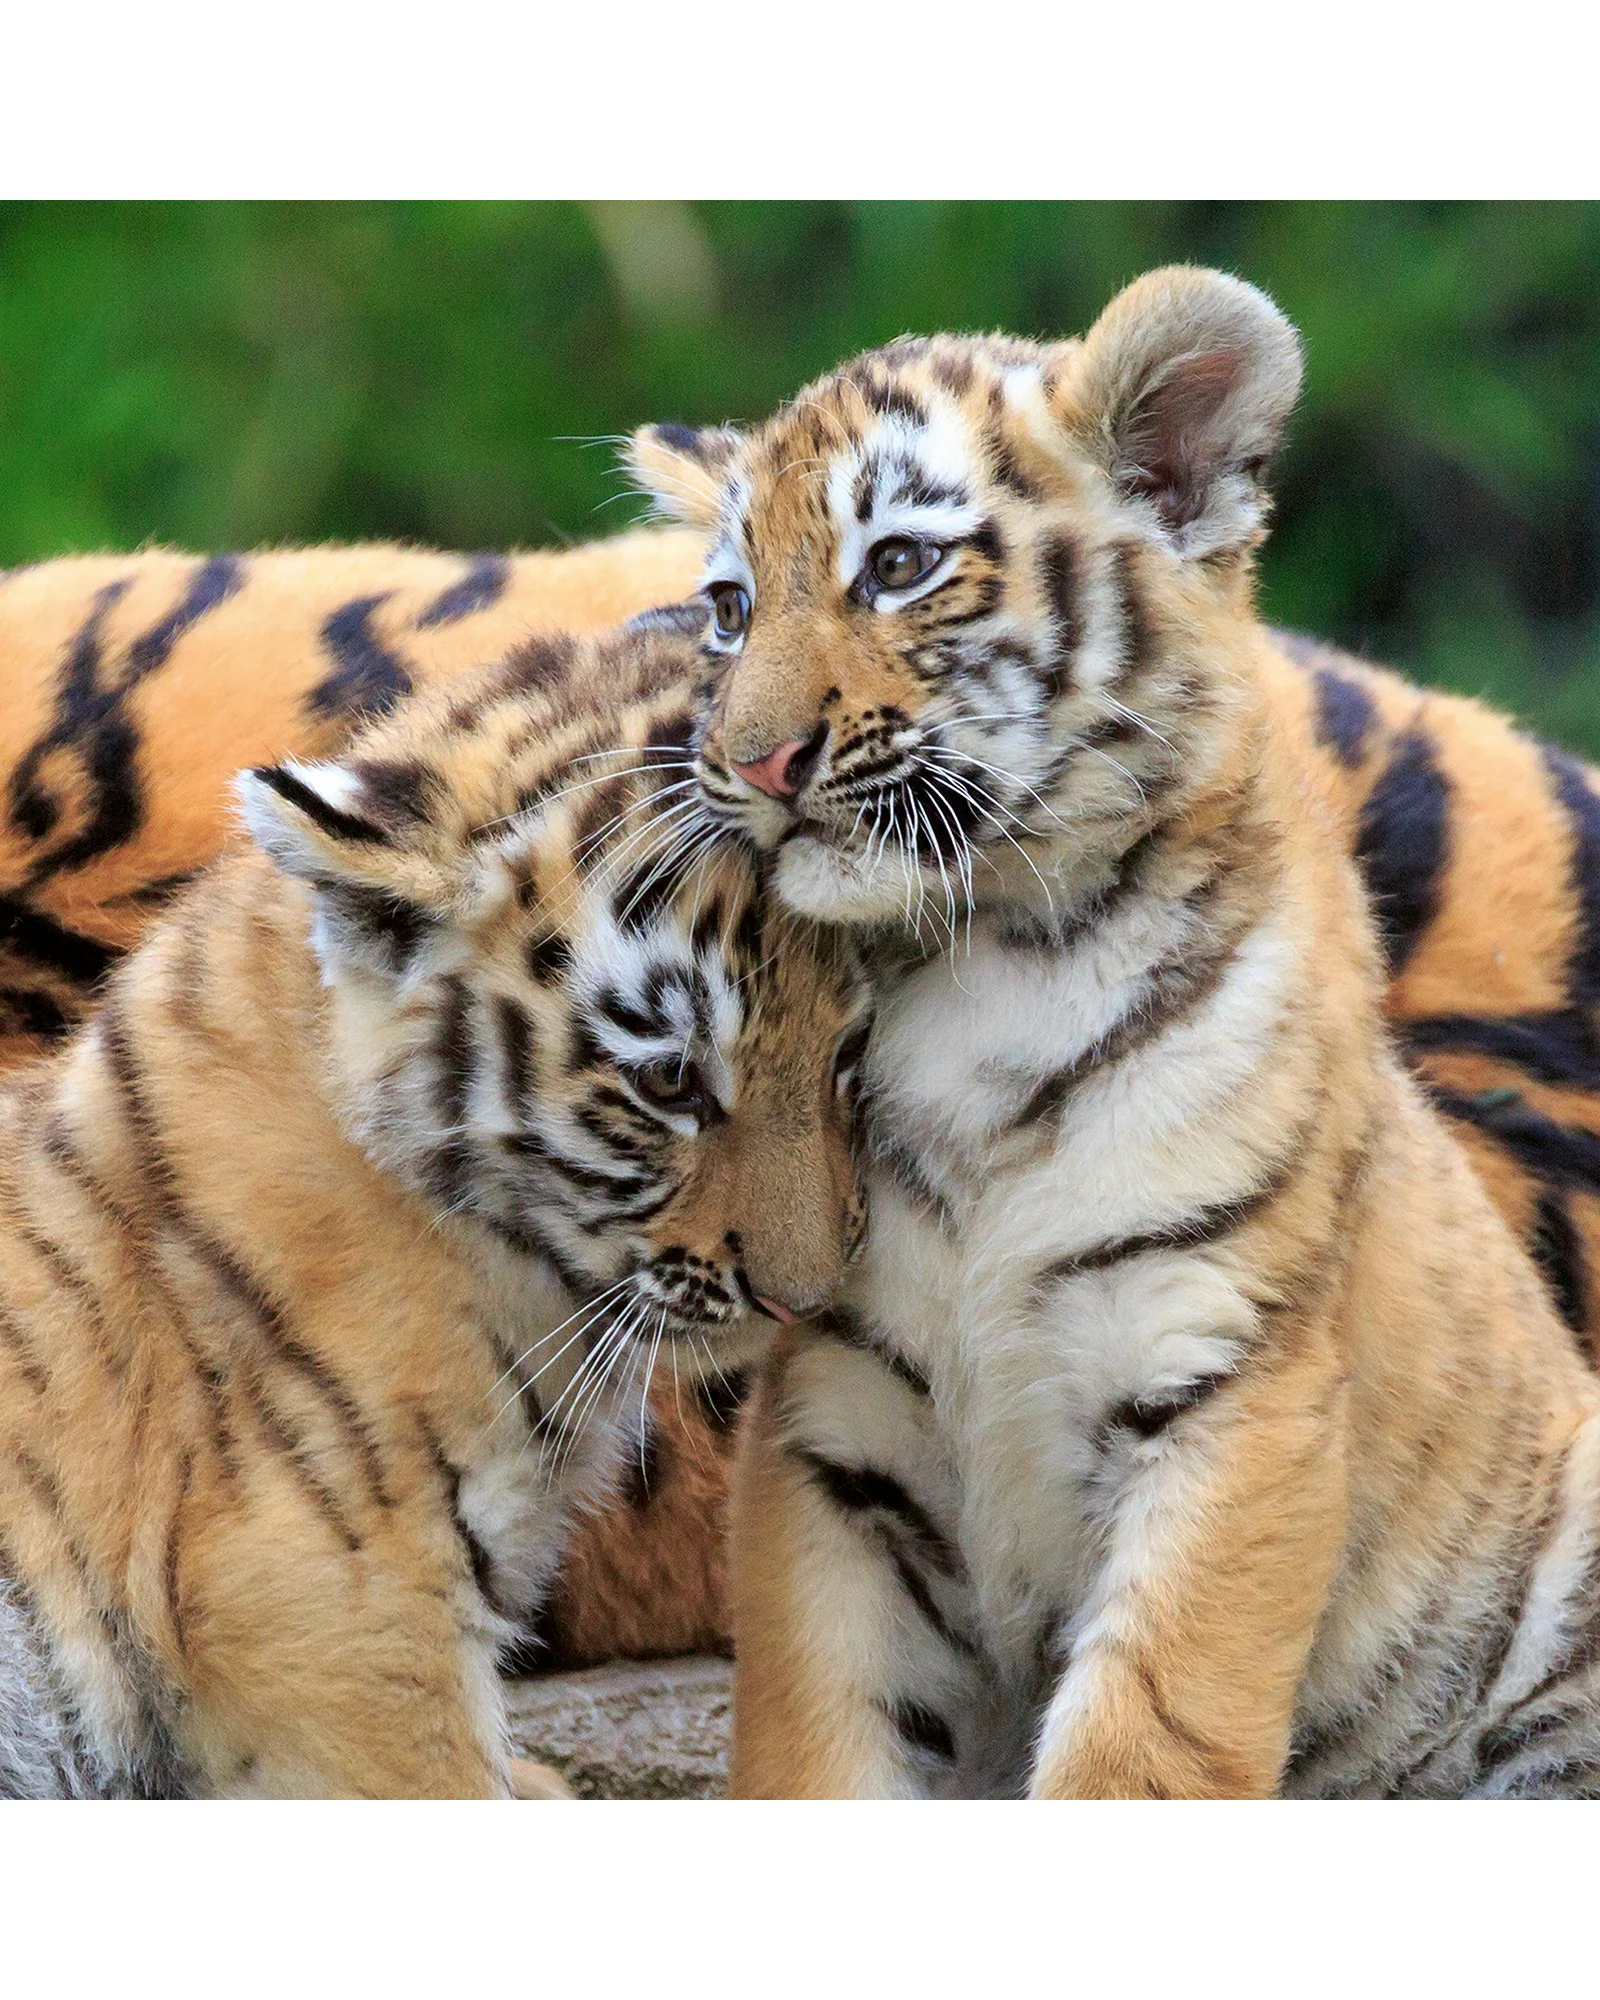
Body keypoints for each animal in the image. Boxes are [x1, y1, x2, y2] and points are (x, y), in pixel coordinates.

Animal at [626, 265, 1600, 1797]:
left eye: (895, 567)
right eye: (728, 607)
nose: (748, 760)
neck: (975, 961)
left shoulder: (1230, 1380)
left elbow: (1147, 1739)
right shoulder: (831, 1430)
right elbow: (817, 1741)